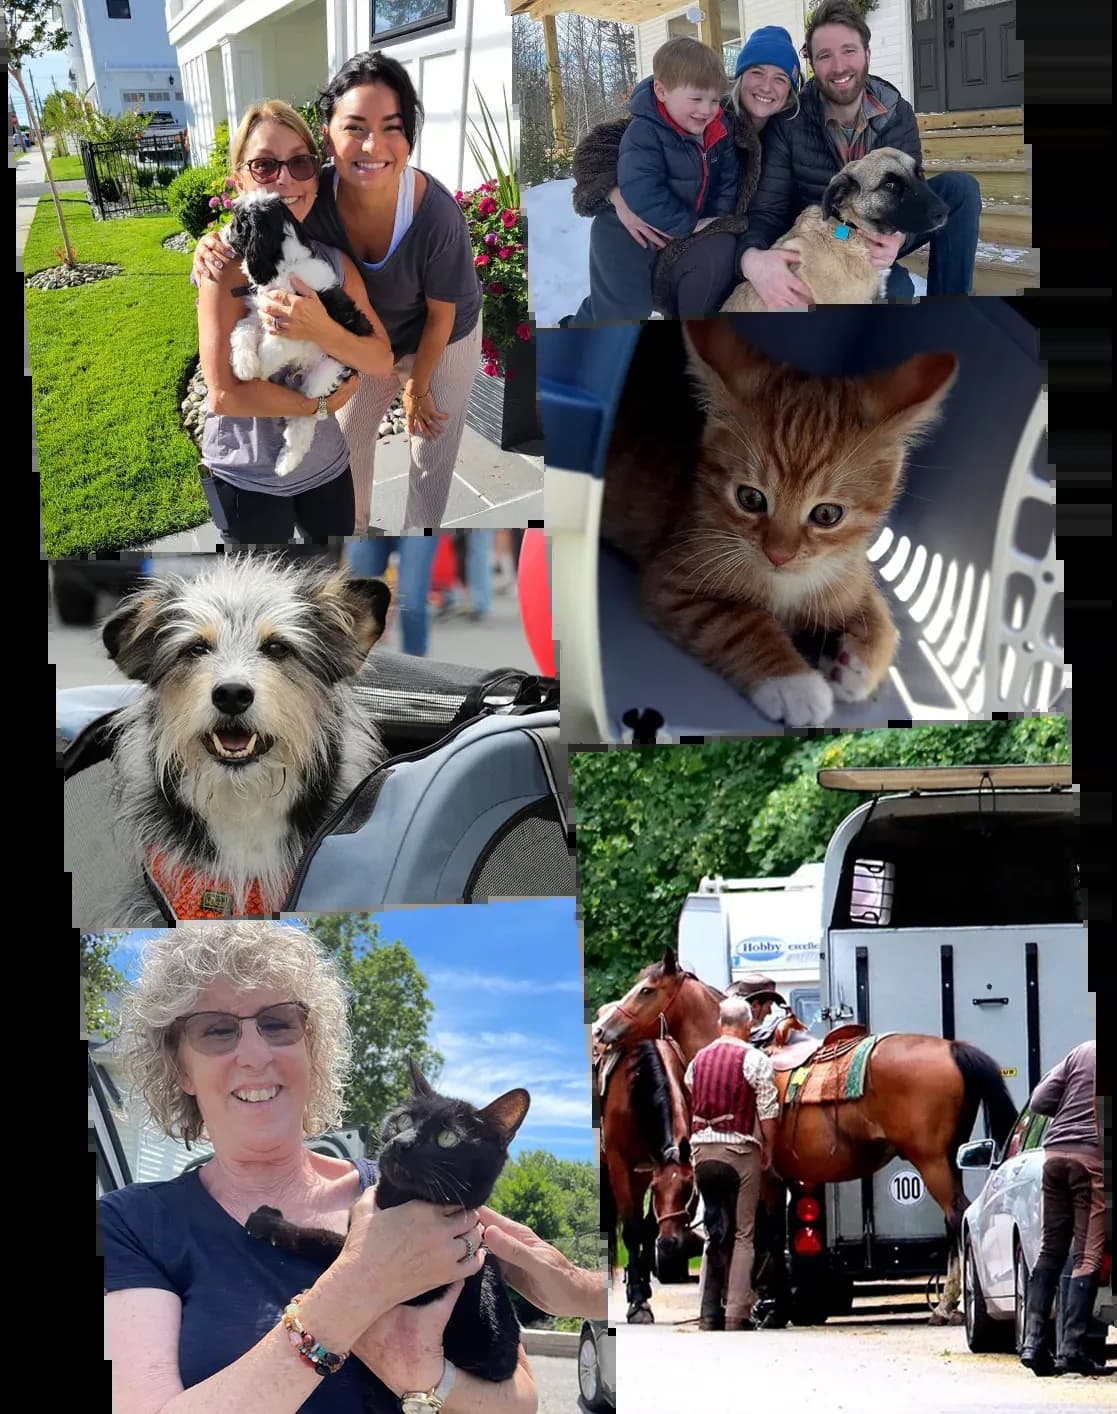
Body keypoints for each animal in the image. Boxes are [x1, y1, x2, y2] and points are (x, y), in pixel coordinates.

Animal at [246, 1063, 534, 1380]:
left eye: (448, 1138)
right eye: (403, 1119)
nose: (401, 1142)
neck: (393, 1201)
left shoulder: (418, 1290)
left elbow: (322, 1241)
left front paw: (267, 1221)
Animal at [599, 1035, 695, 1317]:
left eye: (689, 1187)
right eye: (658, 1187)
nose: (670, 1243)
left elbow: (649, 1227)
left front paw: (641, 1290)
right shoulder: (621, 1164)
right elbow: (632, 1230)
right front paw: (639, 1302)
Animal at [602, 322, 961, 729]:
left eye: (826, 515)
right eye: (750, 498)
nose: (778, 554)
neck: (788, 583)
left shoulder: (848, 570)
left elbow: (879, 611)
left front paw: (859, 663)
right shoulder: (671, 580)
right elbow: (738, 621)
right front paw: (794, 684)